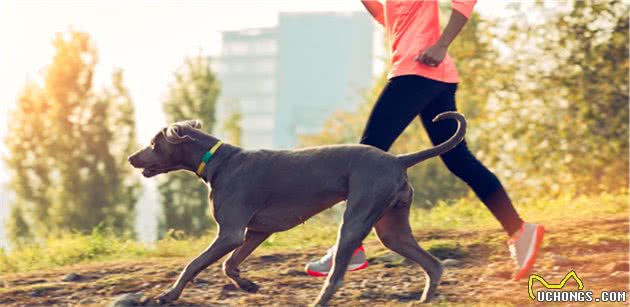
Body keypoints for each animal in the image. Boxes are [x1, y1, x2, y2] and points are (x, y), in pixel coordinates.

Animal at [128, 110, 466, 306]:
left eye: (154, 144)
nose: (131, 158)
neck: (218, 161)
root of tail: (398, 160)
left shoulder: (231, 232)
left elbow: (193, 264)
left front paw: (168, 295)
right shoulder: (256, 231)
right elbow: (229, 264)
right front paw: (248, 285)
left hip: (356, 219)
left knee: (336, 276)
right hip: (392, 228)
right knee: (433, 264)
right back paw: (425, 298)